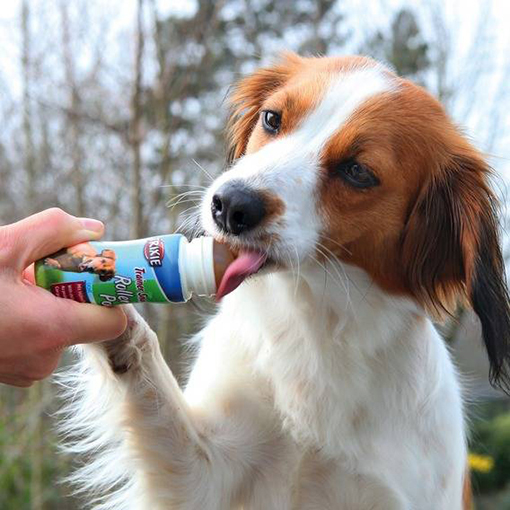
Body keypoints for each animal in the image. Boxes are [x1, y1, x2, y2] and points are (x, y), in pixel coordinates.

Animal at [59, 53, 510, 508]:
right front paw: (110, 312)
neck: (316, 322)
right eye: (272, 119)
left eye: (358, 171)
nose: (231, 206)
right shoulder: (205, 476)